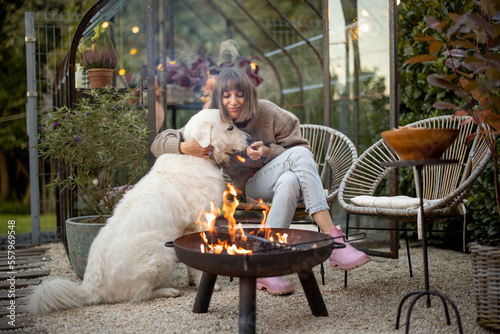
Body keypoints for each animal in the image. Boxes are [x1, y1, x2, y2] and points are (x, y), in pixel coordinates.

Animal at [29, 109, 252, 316]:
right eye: (230, 127)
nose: (250, 139)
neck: (196, 157)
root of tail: (91, 288)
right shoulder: (201, 222)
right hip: (162, 253)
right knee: (139, 295)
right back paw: (167, 291)